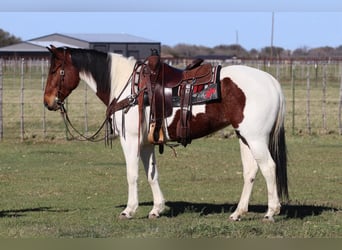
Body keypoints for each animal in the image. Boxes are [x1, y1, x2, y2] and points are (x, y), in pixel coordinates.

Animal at [44, 46, 288, 222]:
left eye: (55, 70)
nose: (47, 102)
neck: (128, 87)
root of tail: (271, 81)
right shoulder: (146, 143)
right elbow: (152, 175)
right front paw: (156, 209)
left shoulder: (130, 140)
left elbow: (132, 175)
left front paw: (129, 210)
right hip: (244, 137)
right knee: (251, 171)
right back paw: (238, 213)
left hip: (256, 138)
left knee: (269, 168)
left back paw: (271, 212)